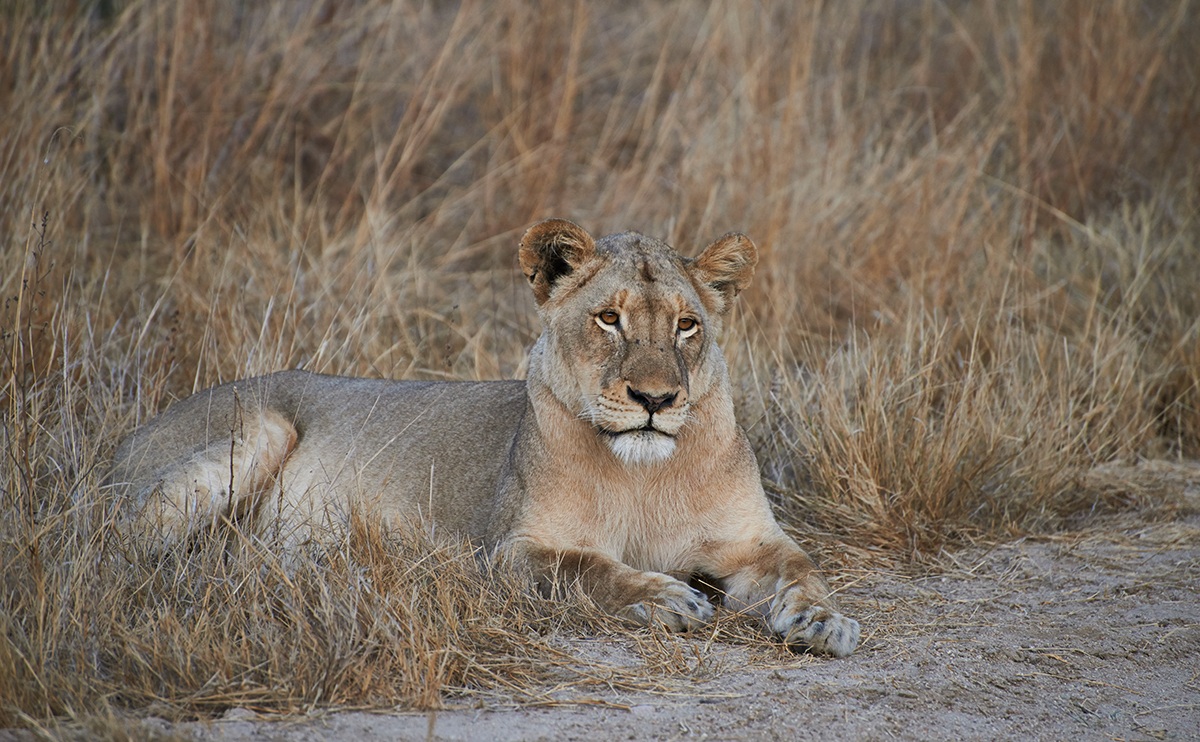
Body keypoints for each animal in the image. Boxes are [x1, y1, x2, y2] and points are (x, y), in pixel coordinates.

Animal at [107, 218, 860, 657]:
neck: (646, 473)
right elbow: (586, 570)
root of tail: (125, 439)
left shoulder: (753, 542)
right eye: (609, 318)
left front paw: (825, 622)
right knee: (125, 550)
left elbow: (804, 570)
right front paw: (666, 597)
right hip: (257, 427)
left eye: (686, 325)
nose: (655, 400)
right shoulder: (510, 552)